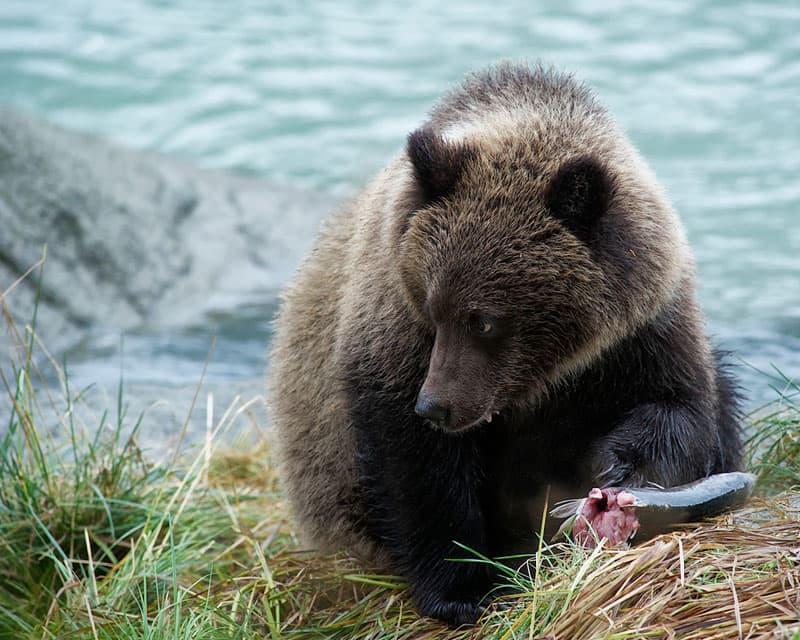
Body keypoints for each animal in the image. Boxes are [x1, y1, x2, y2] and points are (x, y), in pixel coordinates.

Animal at [268, 61, 744, 624]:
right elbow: (418, 467)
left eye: (485, 322)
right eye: (434, 308)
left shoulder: (643, 329)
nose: (435, 406)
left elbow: (680, 407)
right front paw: (462, 587)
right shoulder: (393, 327)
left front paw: (623, 469)